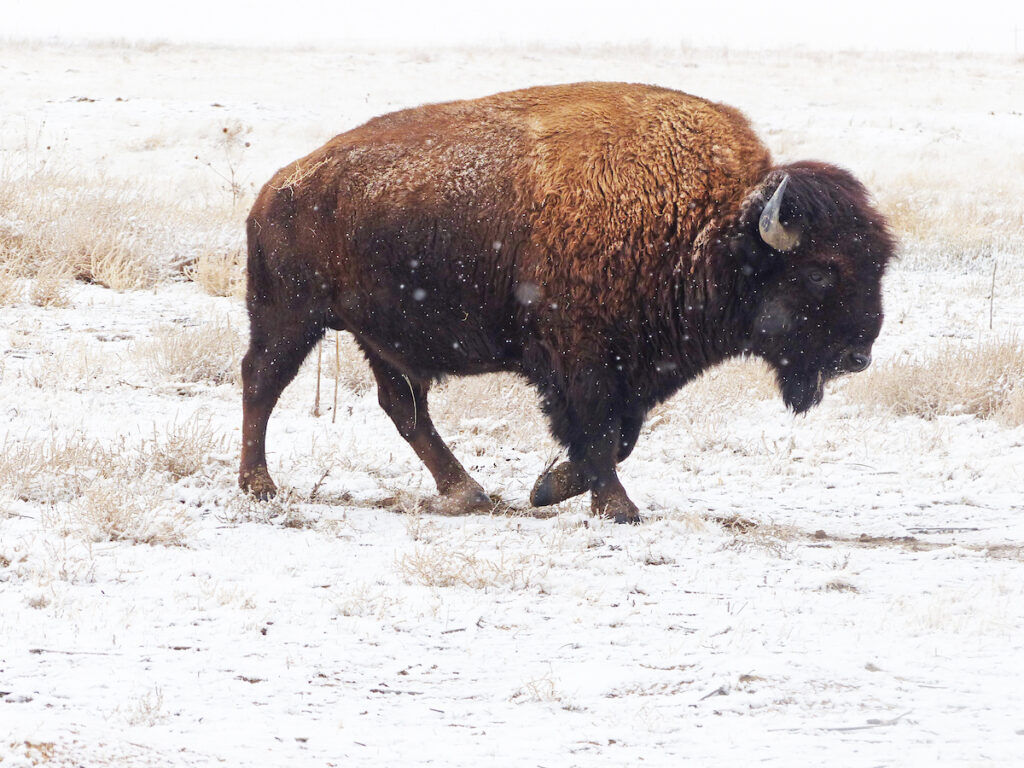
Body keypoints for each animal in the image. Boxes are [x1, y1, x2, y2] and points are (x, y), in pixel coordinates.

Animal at [238, 82, 894, 523]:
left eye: (879, 262)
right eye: (821, 272)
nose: (858, 355)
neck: (706, 225)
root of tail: (277, 187)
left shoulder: (634, 366)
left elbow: (620, 435)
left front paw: (548, 486)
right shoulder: (582, 360)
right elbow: (600, 432)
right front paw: (615, 507)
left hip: (374, 336)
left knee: (403, 406)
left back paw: (467, 492)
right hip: (289, 316)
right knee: (262, 381)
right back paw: (258, 485)